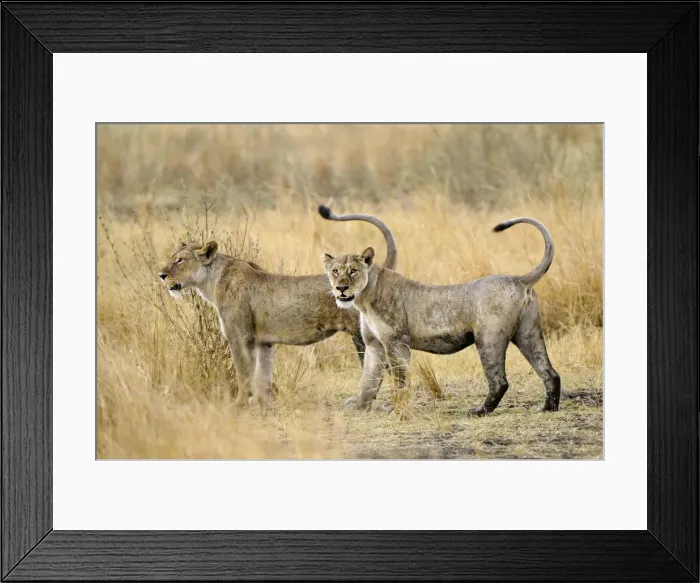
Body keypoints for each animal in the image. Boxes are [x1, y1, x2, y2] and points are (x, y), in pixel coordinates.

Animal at [158, 210, 397, 406]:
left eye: (180, 260)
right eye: (173, 257)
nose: (161, 274)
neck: (212, 280)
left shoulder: (240, 337)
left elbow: (243, 373)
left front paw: (239, 405)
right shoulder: (262, 342)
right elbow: (262, 375)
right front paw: (263, 404)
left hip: (360, 333)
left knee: (378, 365)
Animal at [320, 209, 561, 416]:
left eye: (353, 271)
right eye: (335, 271)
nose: (341, 288)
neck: (364, 299)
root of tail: (519, 279)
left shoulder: (396, 342)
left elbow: (399, 380)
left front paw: (398, 410)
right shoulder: (374, 344)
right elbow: (368, 380)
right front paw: (359, 407)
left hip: (489, 338)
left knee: (500, 381)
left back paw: (479, 411)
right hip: (528, 334)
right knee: (550, 372)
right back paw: (548, 408)